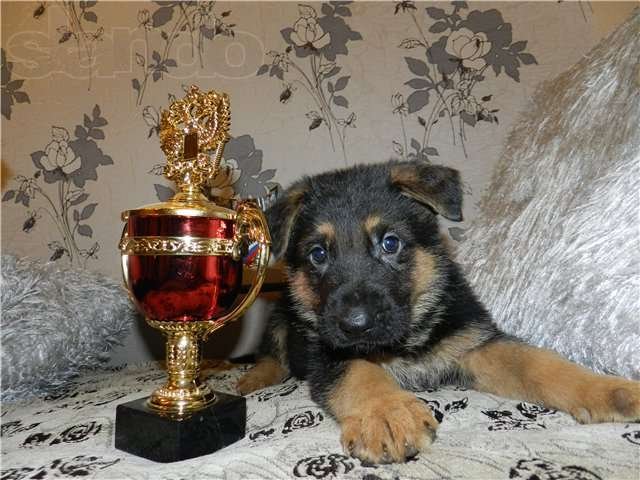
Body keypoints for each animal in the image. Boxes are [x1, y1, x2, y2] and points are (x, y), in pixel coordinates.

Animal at [239, 162, 640, 464]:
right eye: (318, 255)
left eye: (390, 243)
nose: (356, 326)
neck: (406, 340)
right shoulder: (327, 354)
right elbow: (360, 372)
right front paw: (387, 413)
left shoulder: (474, 344)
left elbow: (538, 363)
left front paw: (610, 389)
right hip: (283, 315)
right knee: (271, 353)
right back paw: (253, 379)